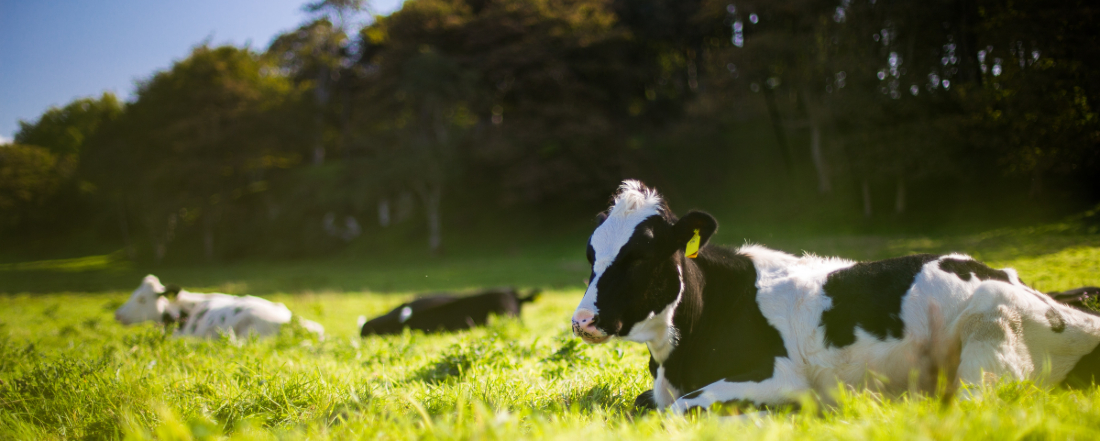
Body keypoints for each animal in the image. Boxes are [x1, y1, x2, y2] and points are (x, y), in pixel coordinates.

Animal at [572, 178, 1100, 413]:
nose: (582, 320)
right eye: (591, 252)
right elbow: (648, 403)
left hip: (990, 342)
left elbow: (683, 408)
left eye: (640, 256)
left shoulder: (779, 376)